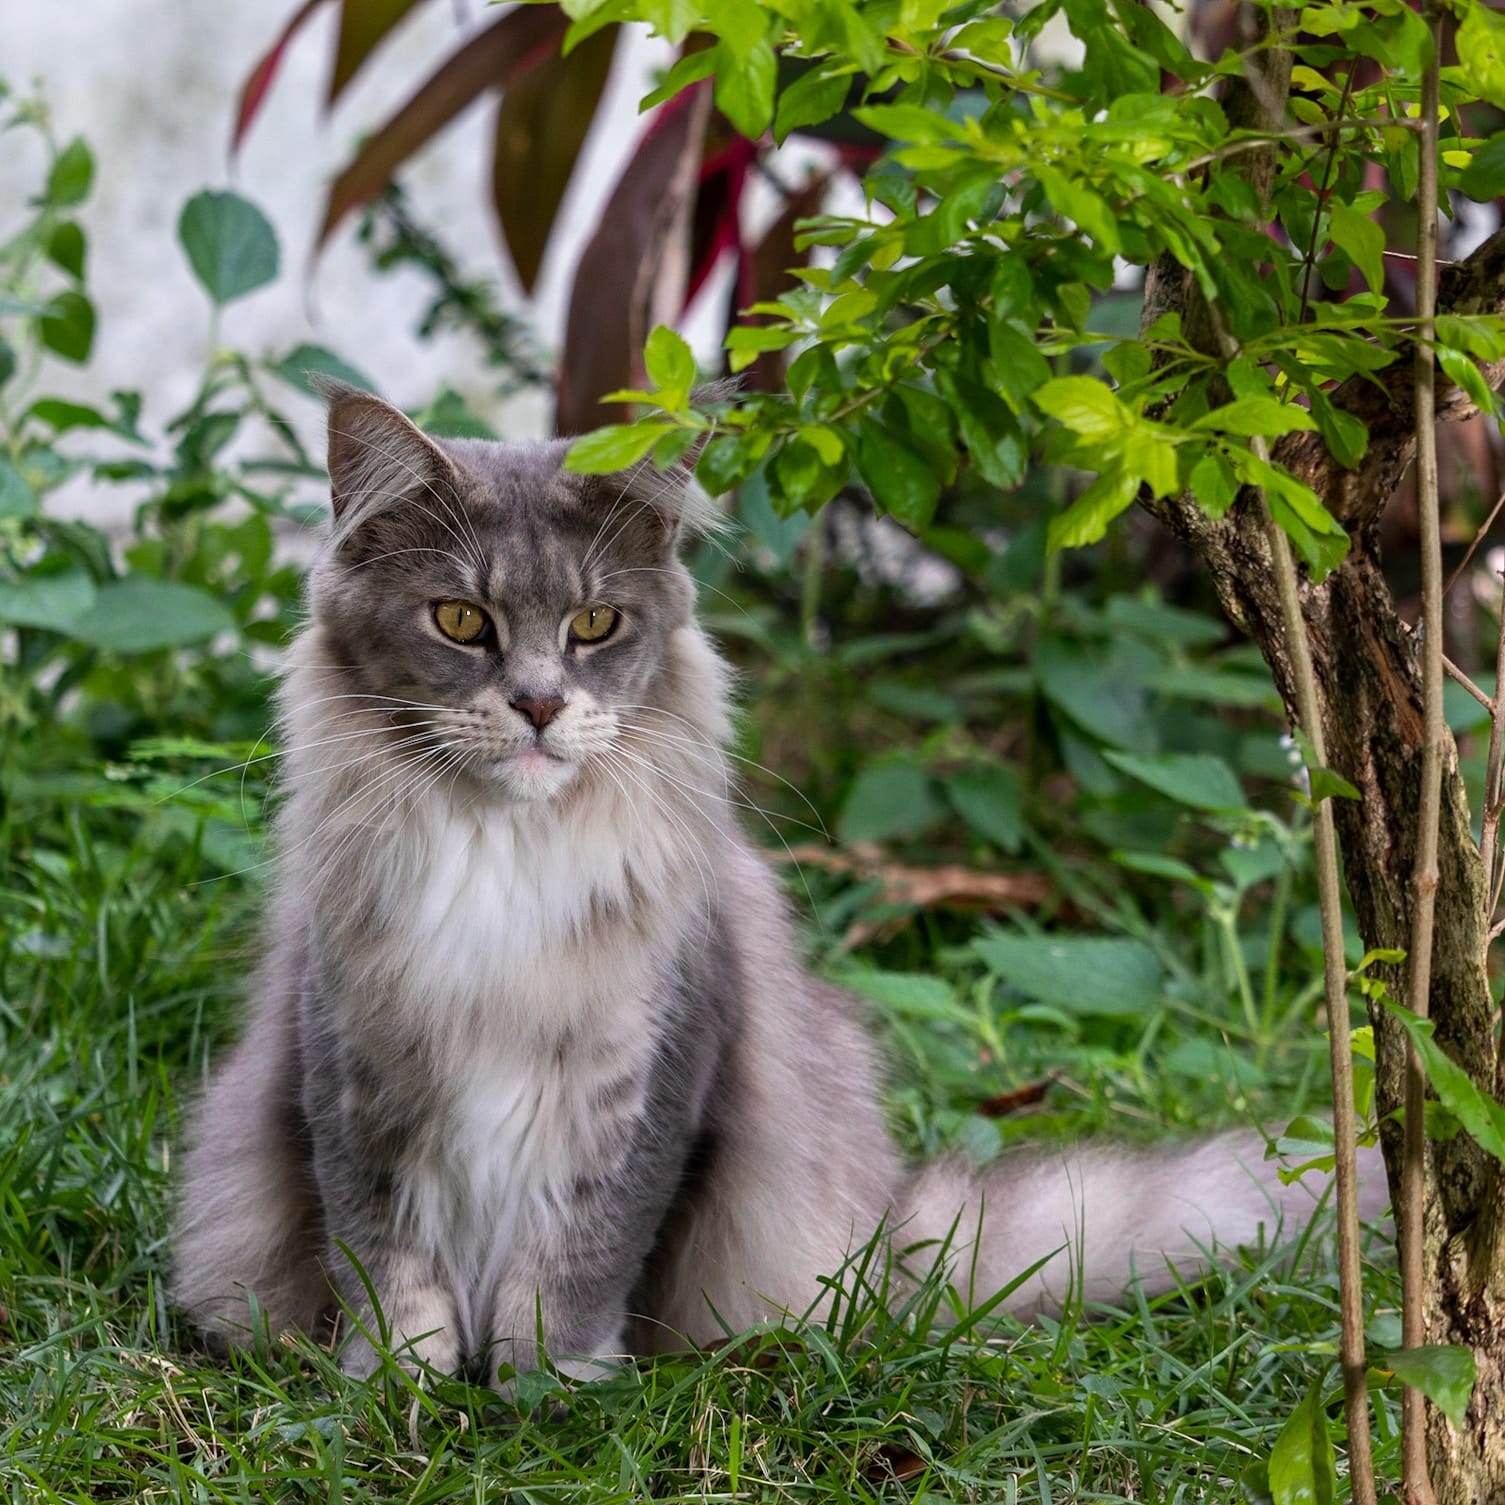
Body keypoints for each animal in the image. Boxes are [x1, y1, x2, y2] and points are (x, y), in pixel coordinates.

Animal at [173, 382, 1366, 1378]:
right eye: (461, 620)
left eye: (594, 624)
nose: (540, 705)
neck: (503, 852)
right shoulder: (353, 1063)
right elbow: (384, 1256)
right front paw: (400, 1391)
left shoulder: (651, 1070)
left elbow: (576, 1261)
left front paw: (536, 1390)